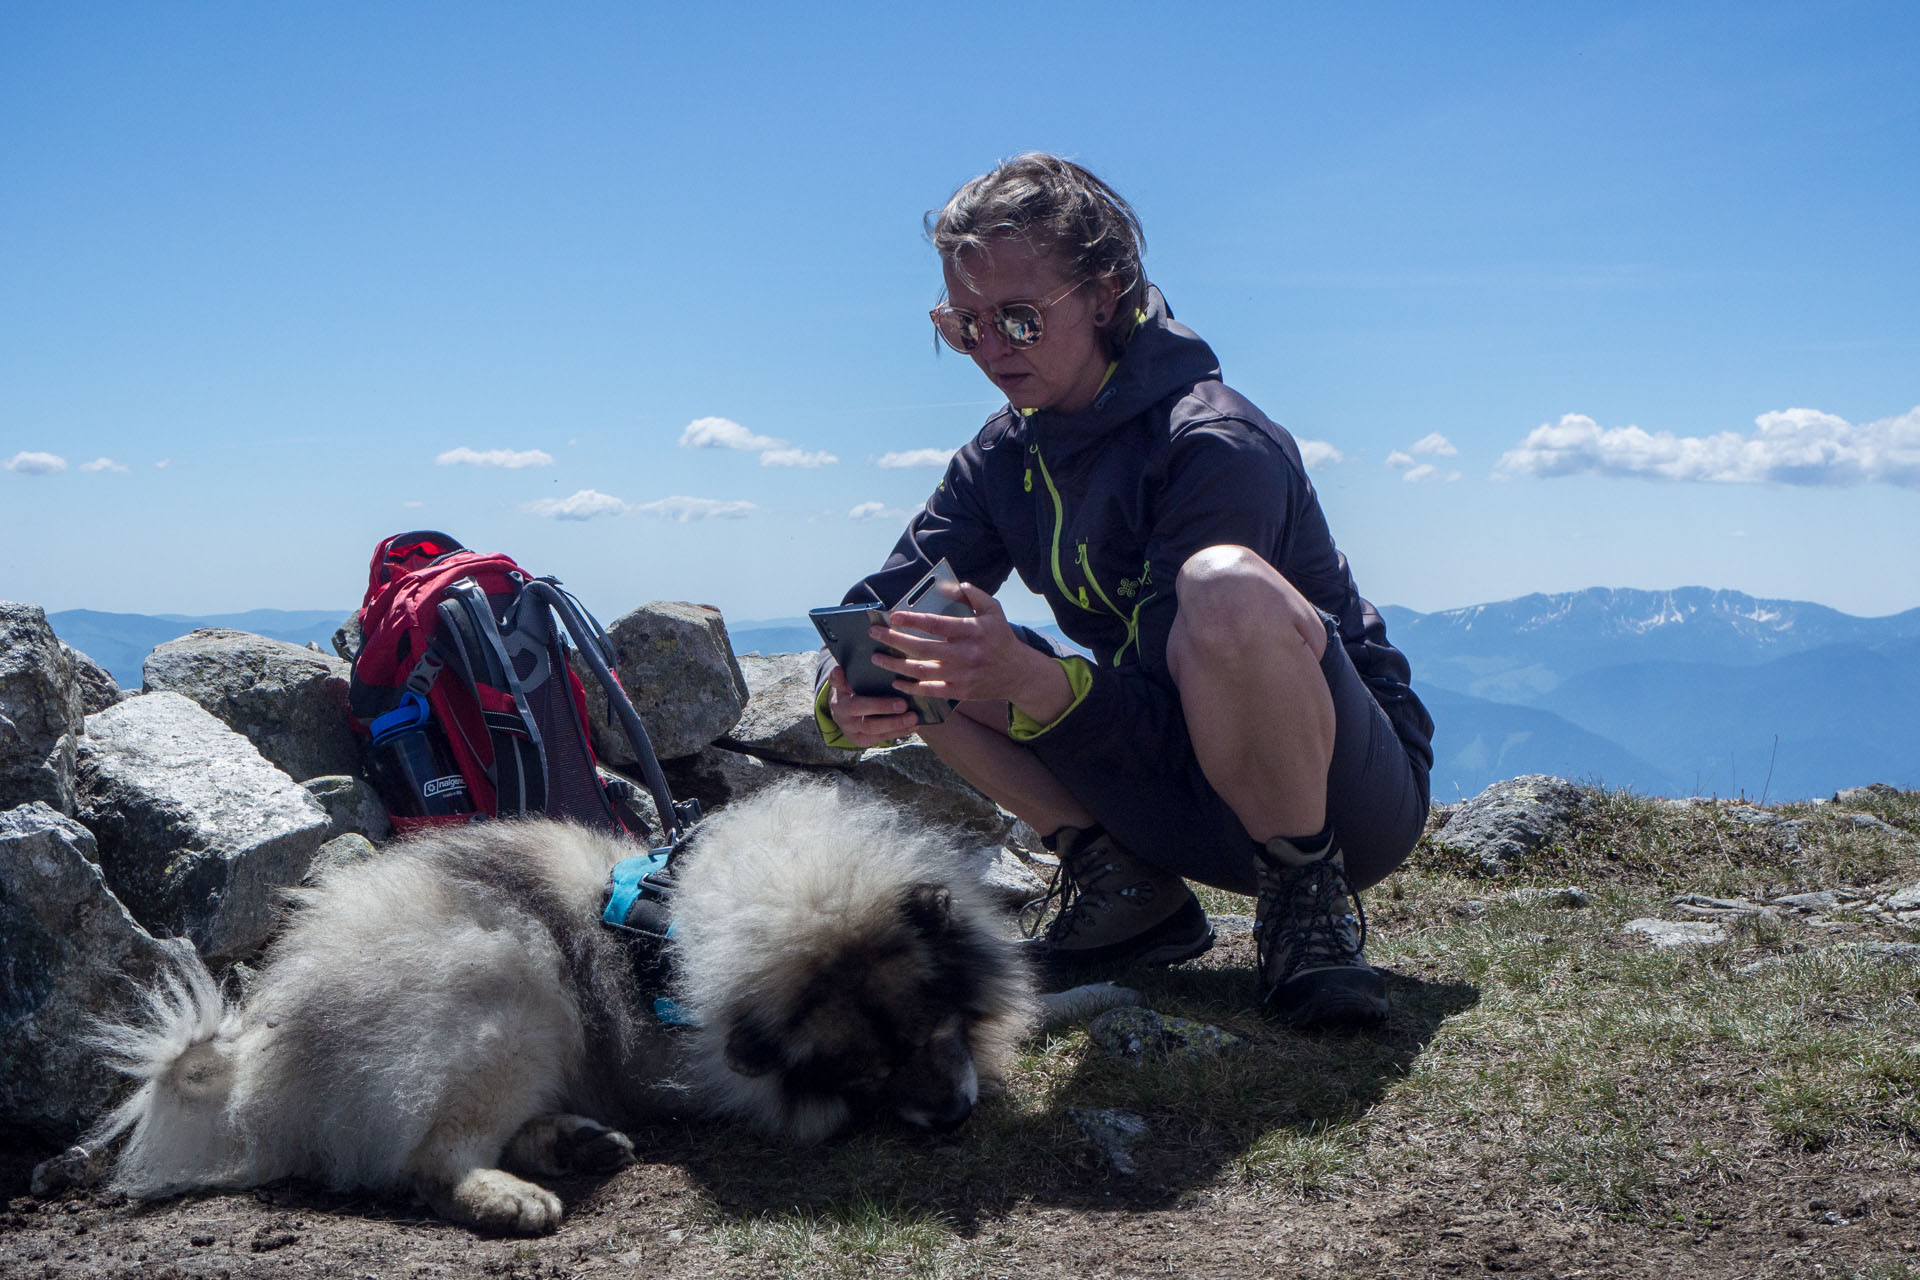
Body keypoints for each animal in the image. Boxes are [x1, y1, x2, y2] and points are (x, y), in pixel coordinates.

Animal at [86, 775, 1136, 1235]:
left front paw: (1099, 986)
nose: (951, 1116)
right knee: (424, 1163)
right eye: (864, 1070)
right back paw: (513, 1194)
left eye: (928, 1023)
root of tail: (260, 1063)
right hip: (511, 992)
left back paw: (576, 1143)